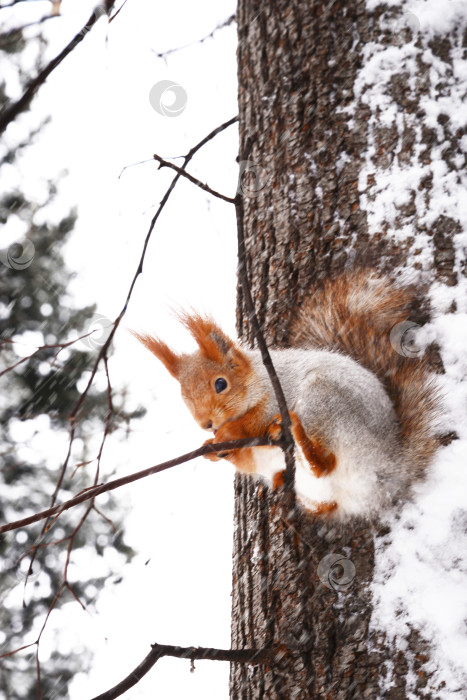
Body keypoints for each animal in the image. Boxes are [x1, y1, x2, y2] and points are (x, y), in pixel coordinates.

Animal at [133, 272, 440, 520]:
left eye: (220, 384)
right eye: (184, 396)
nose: (206, 424)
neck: (256, 377)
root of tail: (388, 464)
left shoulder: (277, 390)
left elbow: (253, 422)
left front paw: (228, 433)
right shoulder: (255, 457)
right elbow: (246, 459)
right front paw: (213, 448)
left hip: (324, 401)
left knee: (323, 464)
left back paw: (295, 434)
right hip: (315, 488)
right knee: (323, 490)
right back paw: (288, 480)